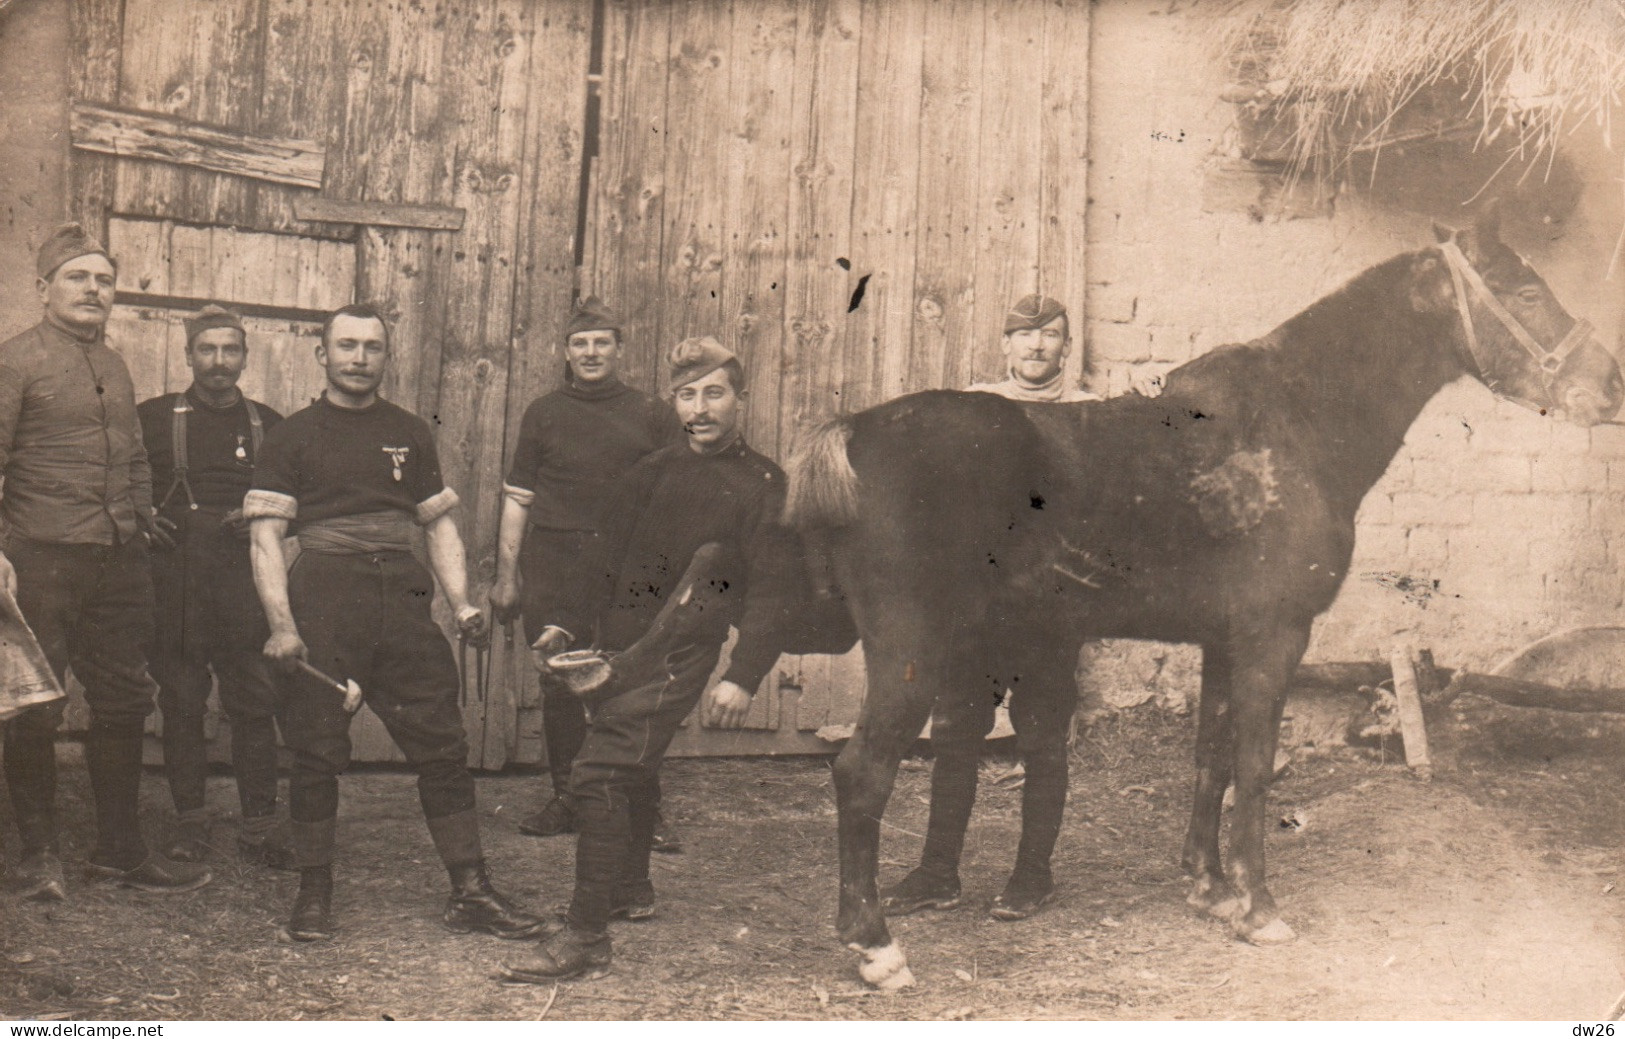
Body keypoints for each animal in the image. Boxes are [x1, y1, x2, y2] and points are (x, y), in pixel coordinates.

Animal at [780, 211, 1618, 988]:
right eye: (1524, 290)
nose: (1607, 383)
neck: (1292, 422)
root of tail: (852, 433)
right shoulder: (1274, 635)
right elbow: (1253, 765)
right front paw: (1259, 908)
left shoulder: (1223, 640)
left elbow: (1210, 756)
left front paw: (1211, 887)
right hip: (909, 654)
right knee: (860, 774)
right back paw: (876, 946)